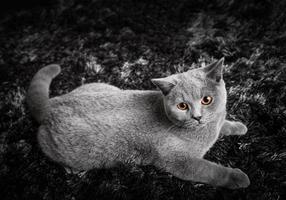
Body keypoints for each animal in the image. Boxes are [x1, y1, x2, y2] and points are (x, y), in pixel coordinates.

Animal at [27, 58, 250, 189]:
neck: (205, 131)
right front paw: (238, 178)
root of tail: (51, 104)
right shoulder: (180, 162)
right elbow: (211, 171)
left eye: (207, 100)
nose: (197, 116)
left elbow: (223, 123)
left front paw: (238, 126)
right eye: (182, 106)